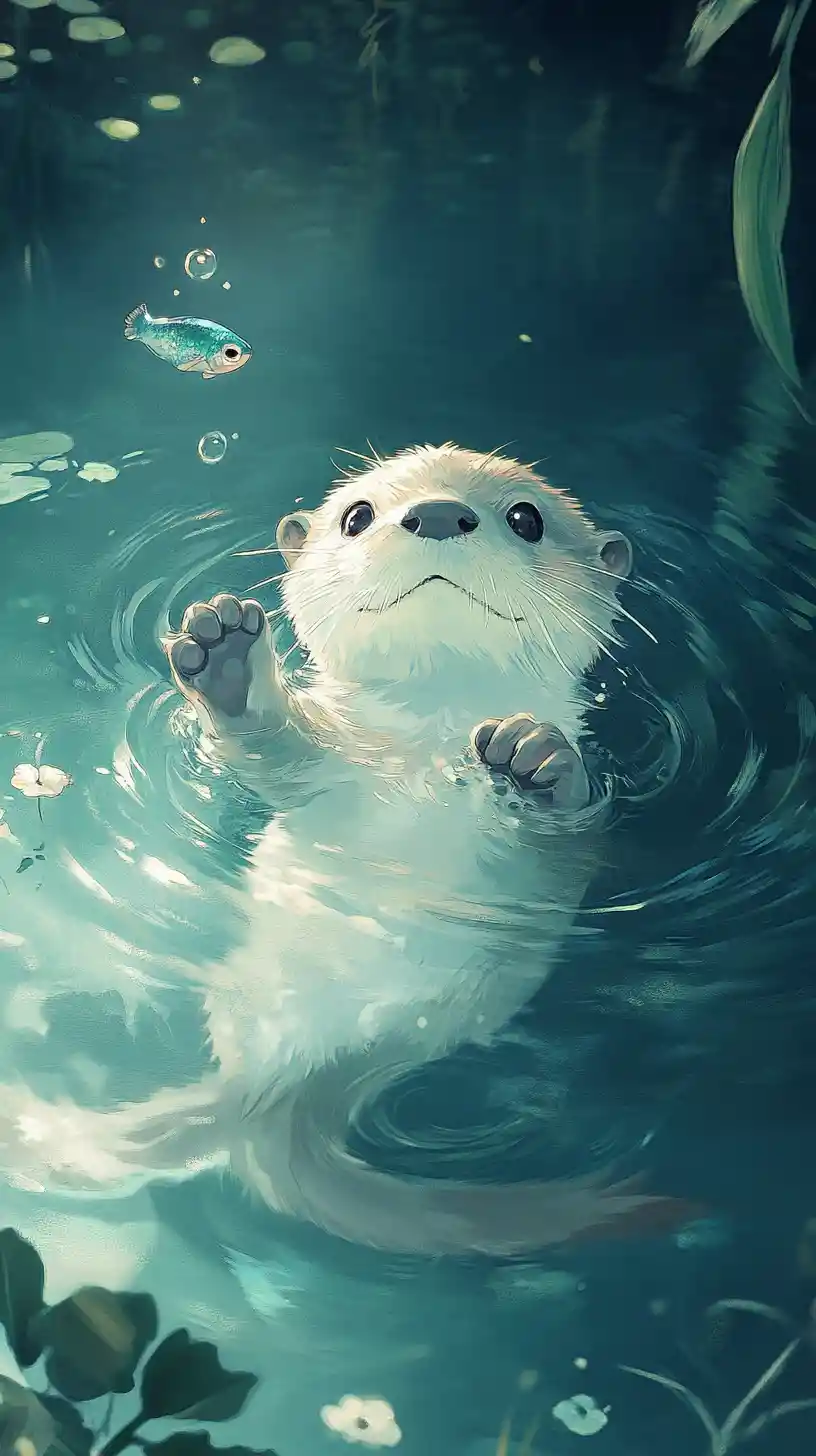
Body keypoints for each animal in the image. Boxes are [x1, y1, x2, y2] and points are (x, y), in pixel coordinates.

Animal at [0, 444, 687, 1255]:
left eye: (527, 517)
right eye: (356, 514)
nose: (437, 513)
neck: (423, 749)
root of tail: (273, 1092)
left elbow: (577, 826)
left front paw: (535, 754)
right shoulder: (322, 767)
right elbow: (271, 758)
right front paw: (227, 661)